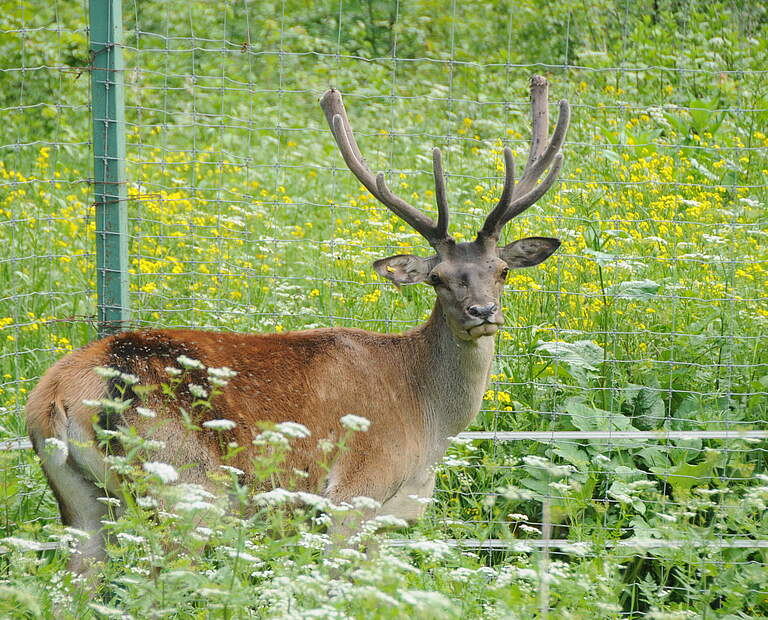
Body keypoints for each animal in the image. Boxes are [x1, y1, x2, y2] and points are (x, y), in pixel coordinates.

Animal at [27, 75, 568, 572]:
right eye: (437, 278)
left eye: (501, 270)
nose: (483, 312)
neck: (427, 421)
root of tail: (56, 395)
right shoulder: (353, 495)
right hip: (184, 492)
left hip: (79, 502)